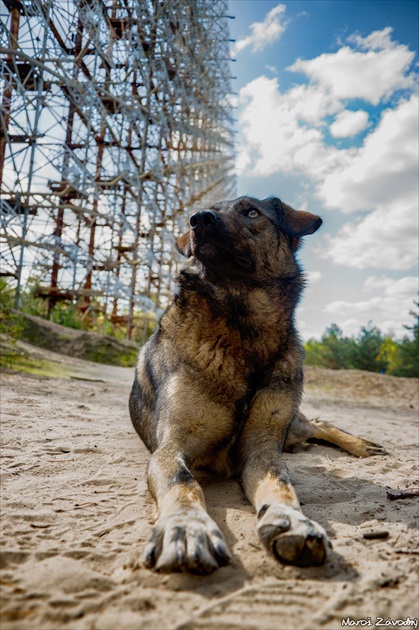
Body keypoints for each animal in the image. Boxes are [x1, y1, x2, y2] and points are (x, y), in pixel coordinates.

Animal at [129, 195, 388, 576]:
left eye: (252, 212)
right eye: (204, 212)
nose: (198, 219)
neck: (242, 329)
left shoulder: (261, 451)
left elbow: (281, 486)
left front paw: (292, 521)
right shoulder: (170, 448)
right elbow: (183, 483)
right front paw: (186, 527)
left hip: (290, 421)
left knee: (317, 423)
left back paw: (360, 445)